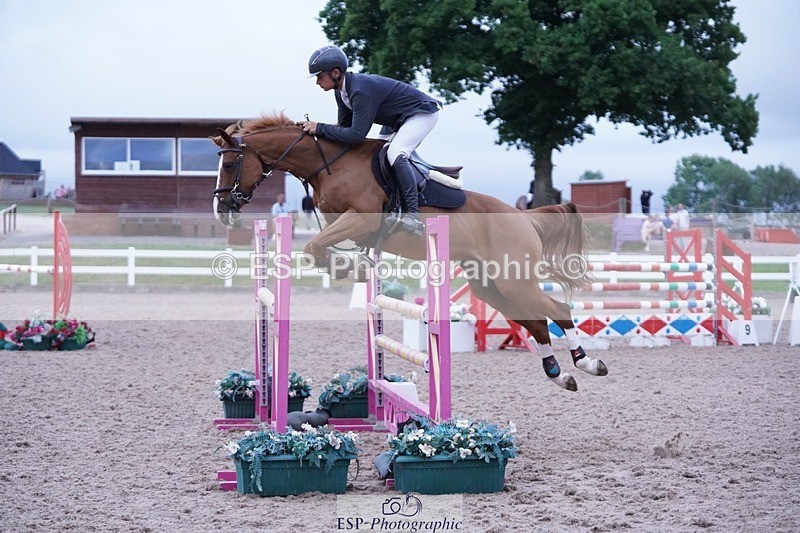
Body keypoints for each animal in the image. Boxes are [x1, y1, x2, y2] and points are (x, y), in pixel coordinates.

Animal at [212, 112, 607, 391]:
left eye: (229, 164)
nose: (223, 210)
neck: (330, 164)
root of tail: (523, 217)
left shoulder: (360, 220)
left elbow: (314, 246)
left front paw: (347, 268)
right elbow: (317, 247)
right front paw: (351, 267)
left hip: (514, 281)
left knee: (558, 310)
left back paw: (588, 363)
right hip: (491, 286)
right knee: (537, 322)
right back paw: (559, 374)